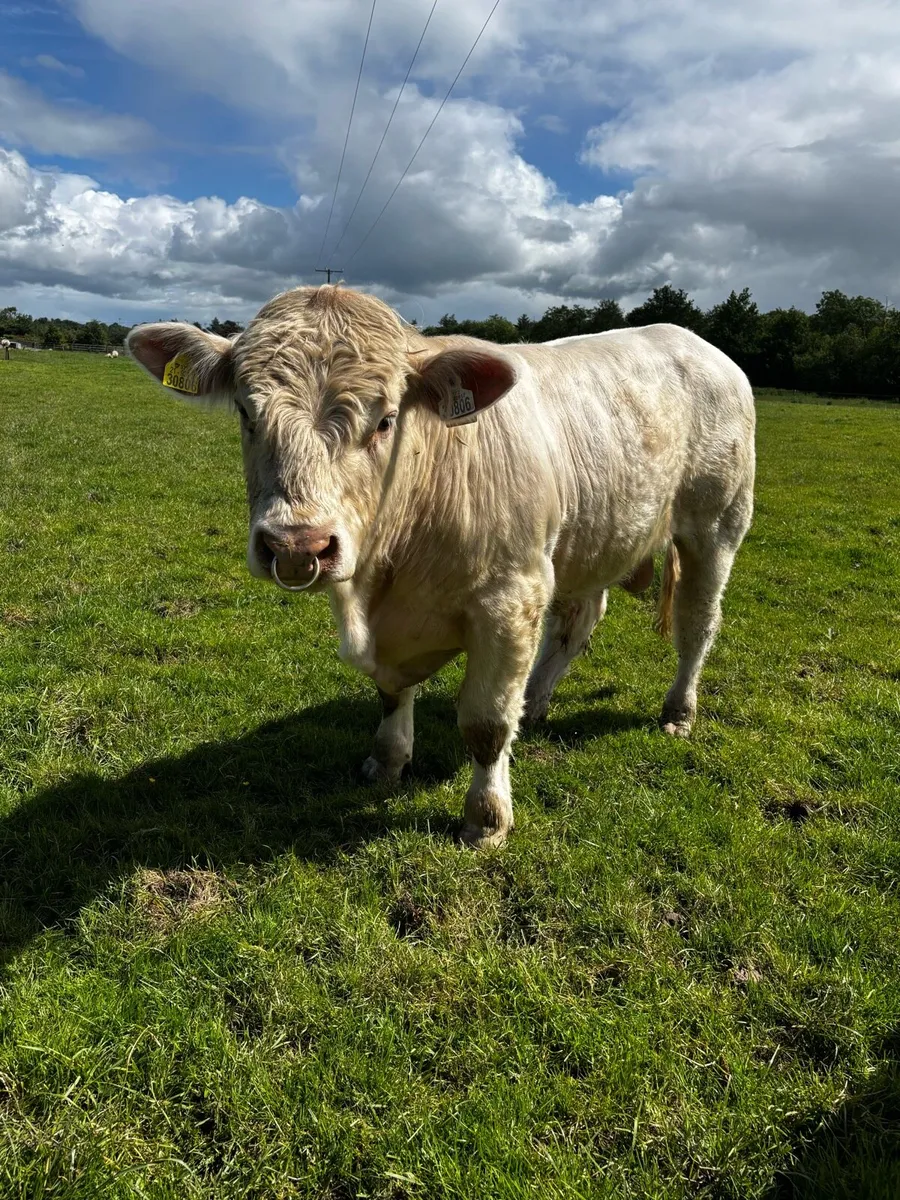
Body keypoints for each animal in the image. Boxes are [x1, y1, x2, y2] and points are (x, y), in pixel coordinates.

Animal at [127, 286, 755, 848]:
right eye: (245, 411)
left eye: (385, 420)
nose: (298, 545)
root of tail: (694, 341)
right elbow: (390, 692)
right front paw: (386, 763)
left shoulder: (510, 600)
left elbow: (486, 723)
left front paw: (487, 818)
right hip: (591, 539)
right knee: (576, 623)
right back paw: (538, 701)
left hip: (716, 525)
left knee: (698, 624)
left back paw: (677, 711)